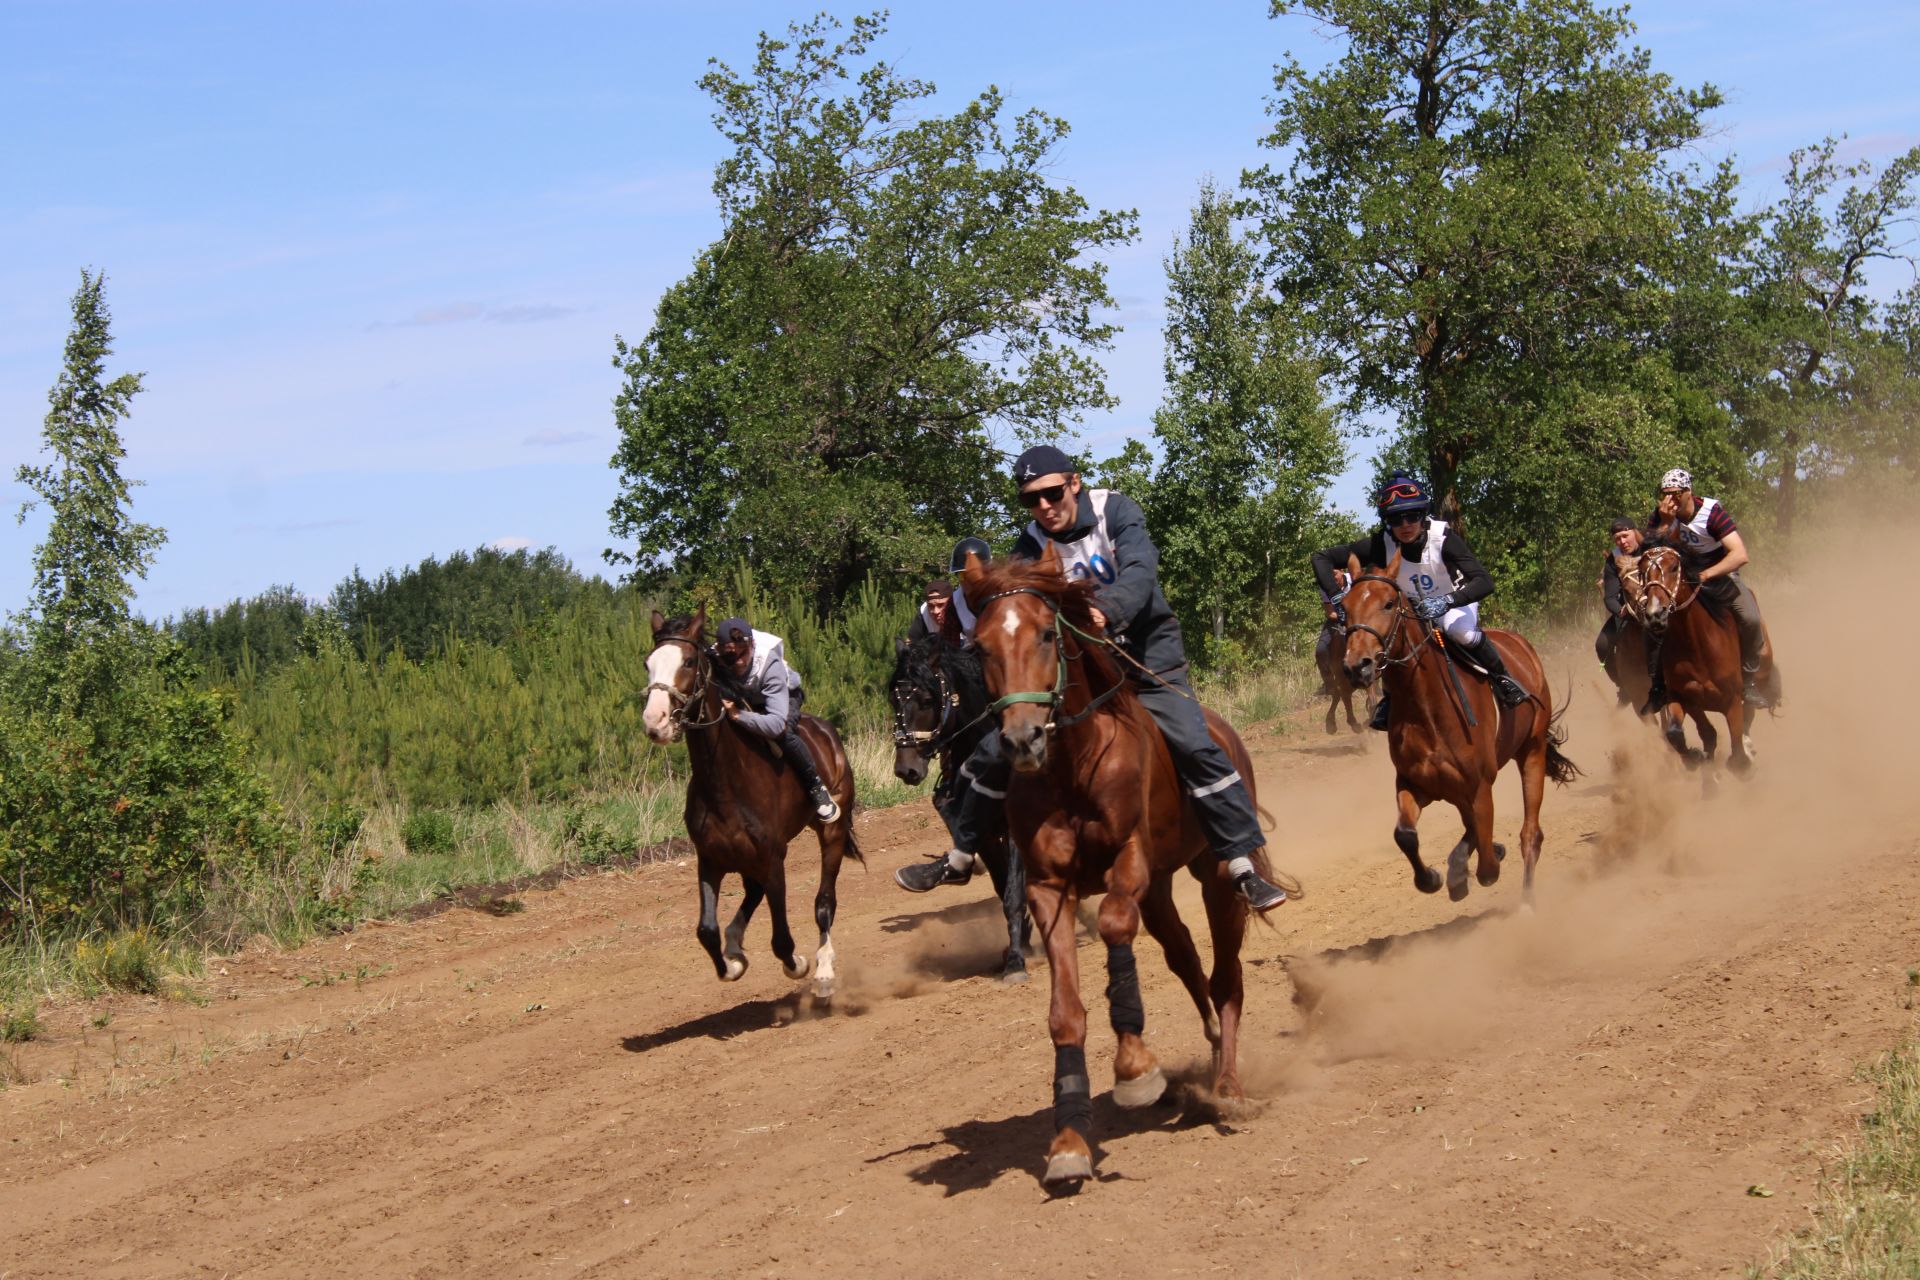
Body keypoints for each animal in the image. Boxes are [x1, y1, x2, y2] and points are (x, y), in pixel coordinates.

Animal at [645, 610, 864, 997]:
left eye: (688, 662)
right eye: (648, 664)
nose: (654, 721)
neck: (725, 784)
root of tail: (828, 734)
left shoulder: (773, 858)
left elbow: (782, 941)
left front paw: (800, 965)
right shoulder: (710, 860)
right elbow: (706, 930)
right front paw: (731, 963)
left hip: (833, 831)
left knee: (824, 902)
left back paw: (823, 970)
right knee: (752, 892)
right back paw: (735, 943)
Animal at [887, 637, 1036, 990]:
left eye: (928, 699)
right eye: (893, 699)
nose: (906, 769)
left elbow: (1013, 893)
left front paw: (1015, 962)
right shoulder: (985, 834)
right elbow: (1002, 886)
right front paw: (1021, 940)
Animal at [956, 545, 1274, 1189]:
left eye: (1047, 633)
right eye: (980, 646)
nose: (1022, 739)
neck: (1073, 768)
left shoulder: (1129, 860)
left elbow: (1113, 927)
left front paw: (1133, 1068)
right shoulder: (1049, 888)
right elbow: (1064, 1013)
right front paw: (1069, 1140)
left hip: (1215, 879)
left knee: (1226, 976)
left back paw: (1228, 1086)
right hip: (1162, 891)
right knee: (1186, 960)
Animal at [1336, 556, 1574, 905]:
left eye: (1389, 603)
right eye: (1346, 608)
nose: (1357, 666)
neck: (1427, 710)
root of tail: (1521, 644)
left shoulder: (1479, 787)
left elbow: (1487, 866)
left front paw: (1465, 869)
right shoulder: (1413, 783)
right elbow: (1405, 835)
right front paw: (1433, 877)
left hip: (1531, 750)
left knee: (1530, 833)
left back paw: (1525, 901)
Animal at [1612, 541, 1758, 771]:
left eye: (1674, 568)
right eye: (1626, 588)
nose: (1654, 614)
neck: (1697, 647)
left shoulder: (1731, 701)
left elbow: (1736, 750)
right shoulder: (1679, 699)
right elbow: (1680, 734)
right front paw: (1695, 758)